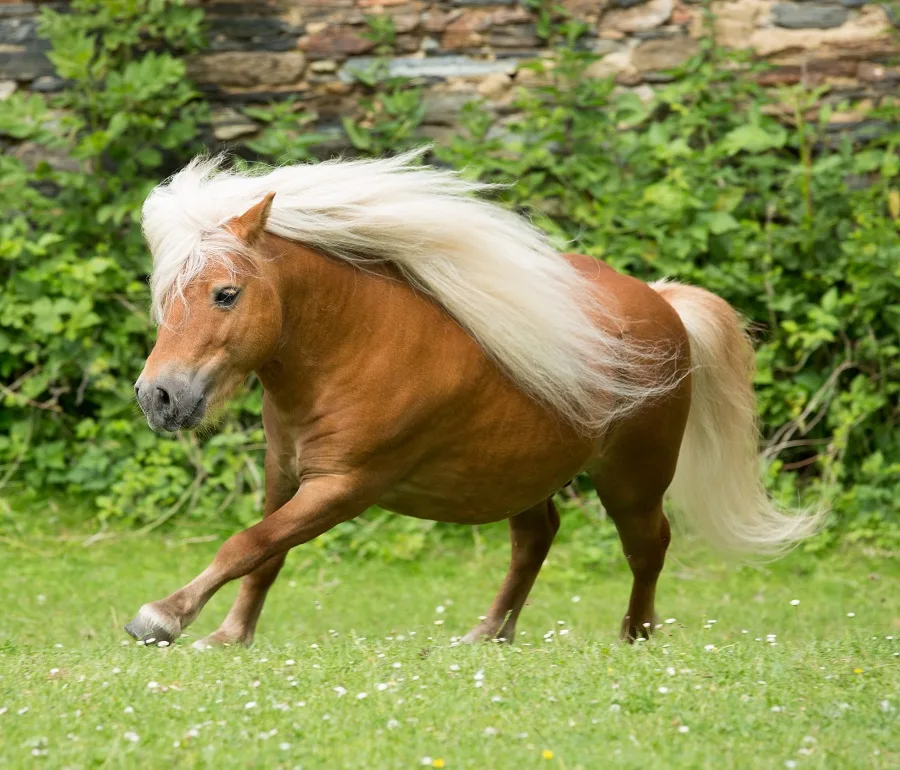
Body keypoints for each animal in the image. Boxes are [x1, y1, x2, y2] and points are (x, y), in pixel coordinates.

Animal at [126, 147, 824, 644]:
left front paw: (163, 616)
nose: (157, 396)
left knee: (648, 545)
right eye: (167, 297)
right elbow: (264, 552)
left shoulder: (344, 488)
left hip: (632, 478)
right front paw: (229, 635)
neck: (359, 347)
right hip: (523, 474)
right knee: (537, 539)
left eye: (225, 294)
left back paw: (637, 636)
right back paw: (490, 633)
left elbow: (247, 544)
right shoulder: (285, 473)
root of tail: (663, 302)